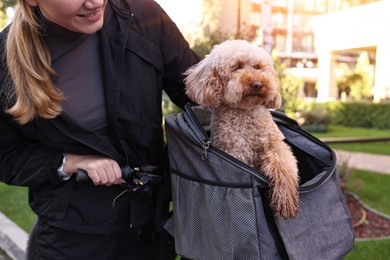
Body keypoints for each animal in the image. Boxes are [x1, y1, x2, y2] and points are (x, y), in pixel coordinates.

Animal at [184, 39, 300, 218]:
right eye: (237, 67)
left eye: (258, 67)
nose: (258, 84)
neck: (245, 112)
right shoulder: (237, 154)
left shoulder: (275, 146)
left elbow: (283, 167)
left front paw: (285, 198)